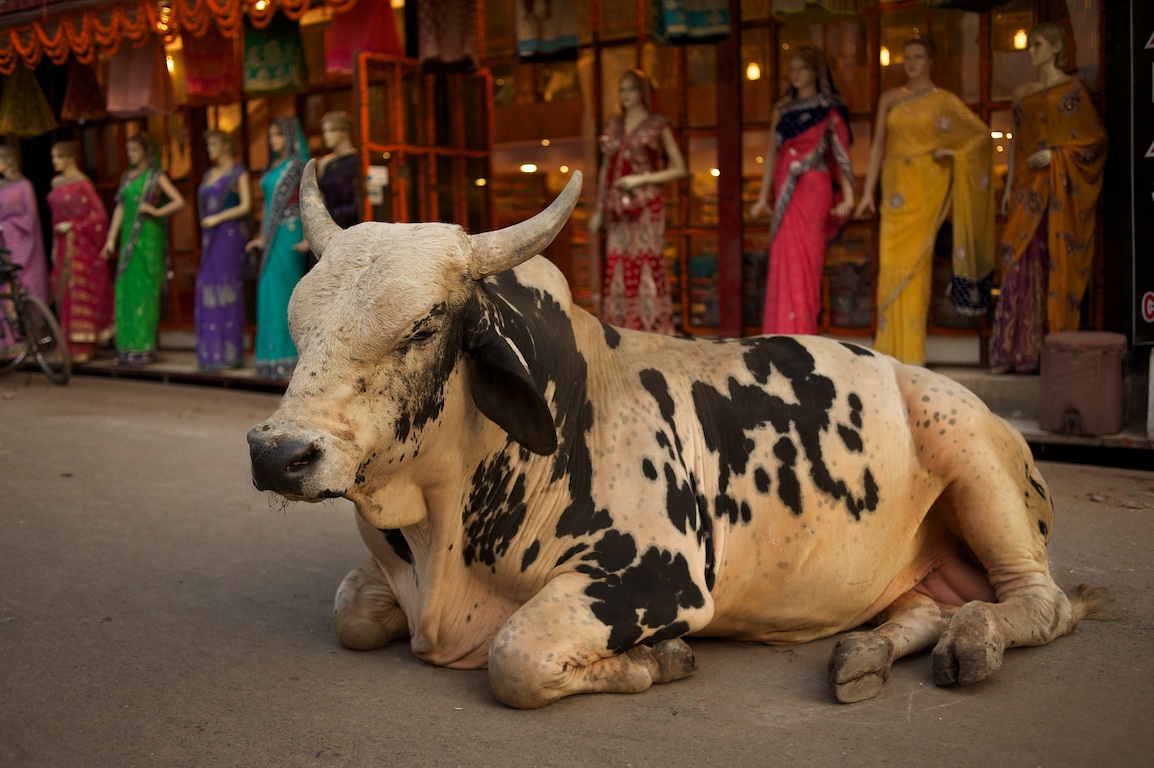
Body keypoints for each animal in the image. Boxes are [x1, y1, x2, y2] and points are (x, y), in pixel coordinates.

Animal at [248, 162, 1105, 709]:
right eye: (298, 321)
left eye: (425, 326)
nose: (279, 453)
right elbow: (352, 614)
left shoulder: (656, 578)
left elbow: (514, 657)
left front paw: (654, 661)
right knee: (925, 606)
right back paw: (865, 654)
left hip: (977, 465)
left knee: (1043, 603)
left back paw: (975, 640)